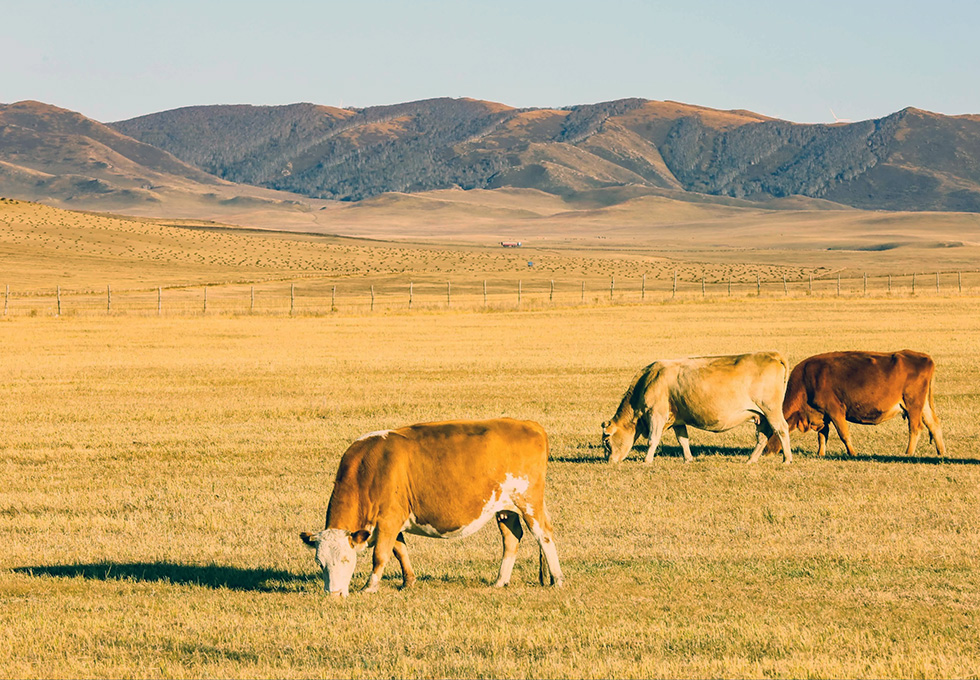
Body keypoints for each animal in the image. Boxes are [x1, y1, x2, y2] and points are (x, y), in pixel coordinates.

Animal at [298, 418, 564, 596]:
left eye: (346, 560)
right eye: (320, 563)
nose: (334, 594)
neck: (370, 469)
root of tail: (529, 424)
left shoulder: (389, 520)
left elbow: (380, 554)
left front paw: (370, 587)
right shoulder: (394, 521)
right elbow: (400, 550)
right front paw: (408, 581)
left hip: (529, 502)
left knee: (544, 535)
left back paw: (557, 578)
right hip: (505, 508)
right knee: (512, 538)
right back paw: (500, 580)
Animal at [596, 354, 796, 464]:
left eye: (607, 440)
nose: (610, 461)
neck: (648, 380)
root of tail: (771, 354)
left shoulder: (656, 414)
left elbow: (653, 439)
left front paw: (647, 460)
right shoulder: (677, 419)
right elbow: (683, 440)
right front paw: (688, 459)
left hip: (770, 410)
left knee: (781, 429)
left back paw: (787, 459)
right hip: (760, 415)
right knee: (762, 437)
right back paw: (751, 460)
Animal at [760, 350, 944, 456]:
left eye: (769, 431)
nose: (766, 451)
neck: (808, 379)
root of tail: (925, 358)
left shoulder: (835, 411)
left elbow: (844, 434)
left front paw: (853, 453)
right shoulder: (823, 415)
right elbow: (822, 436)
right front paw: (820, 454)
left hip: (913, 405)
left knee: (915, 428)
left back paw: (908, 453)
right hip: (923, 406)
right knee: (934, 424)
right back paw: (941, 452)